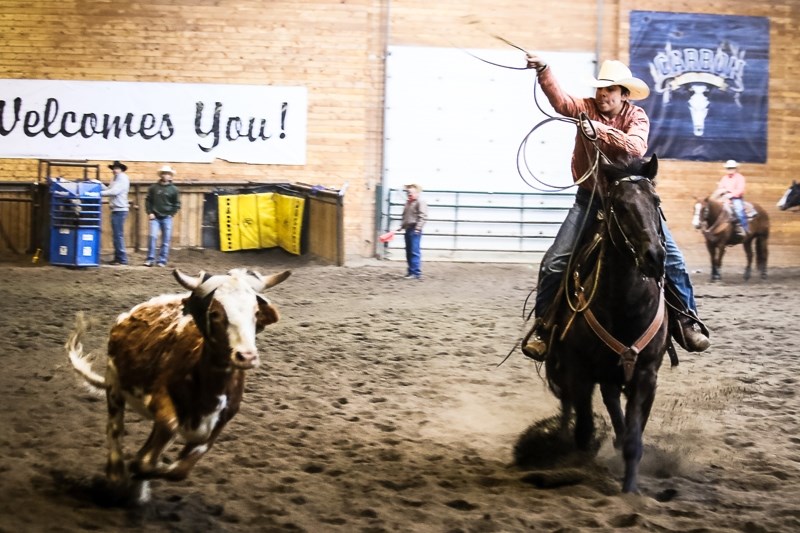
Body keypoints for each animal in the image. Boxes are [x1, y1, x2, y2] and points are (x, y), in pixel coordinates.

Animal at [544, 156, 668, 492]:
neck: (623, 304)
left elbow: (634, 440)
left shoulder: (646, 373)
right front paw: (574, 469)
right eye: (621, 206)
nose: (654, 256)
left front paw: (630, 491)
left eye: (656, 201)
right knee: (570, 407)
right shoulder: (578, 370)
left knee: (612, 401)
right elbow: (584, 430)